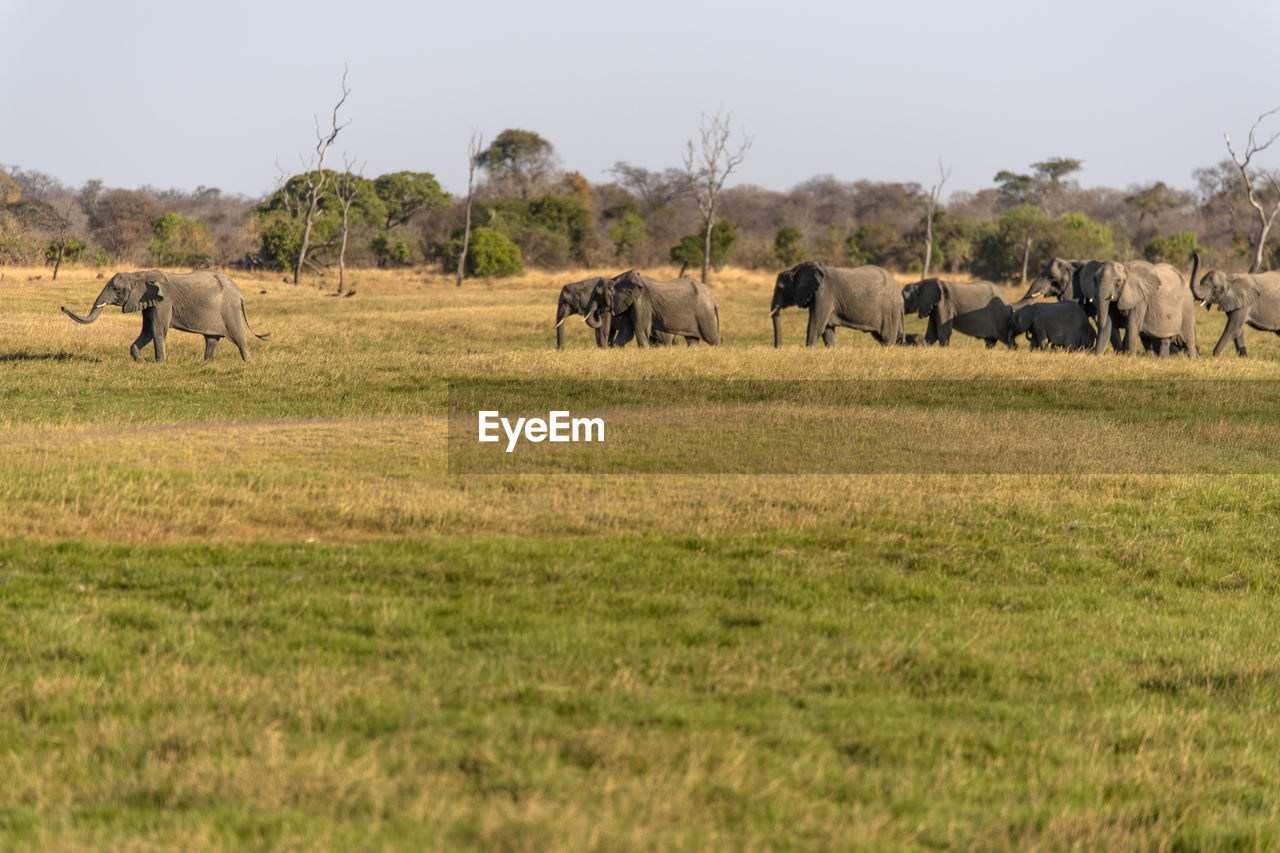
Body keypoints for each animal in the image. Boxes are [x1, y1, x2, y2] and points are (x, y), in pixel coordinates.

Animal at [63, 266, 268, 358]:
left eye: (115, 289)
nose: (62, 307)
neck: (139, 274)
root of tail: (240, 294)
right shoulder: (148, 302)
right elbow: (147, 331)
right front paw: (142, 363)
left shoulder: (163, 302)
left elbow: (157, 330)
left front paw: (160, 363)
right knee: (211, 340)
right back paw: (207, 363)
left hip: (230, 309)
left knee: (239, 338)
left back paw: (248, 362)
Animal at [583, 268, 721, 343]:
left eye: (597, 295)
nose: (600, 312)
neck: (617, 279)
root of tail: (713, 300)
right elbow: (627, 331)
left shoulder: (641, 301)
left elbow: (641, 330)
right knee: (692, 339)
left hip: (704, 313)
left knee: (712, 338)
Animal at [762, 262, 906, 348]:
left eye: (781, 289)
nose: (777, 348)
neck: (796, 269)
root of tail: (898, 291)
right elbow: (827, 329)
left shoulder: (824, 294)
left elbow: (816, 325)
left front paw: (809, 349)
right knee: (881, 337)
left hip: (890, 311)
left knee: (887, 337)